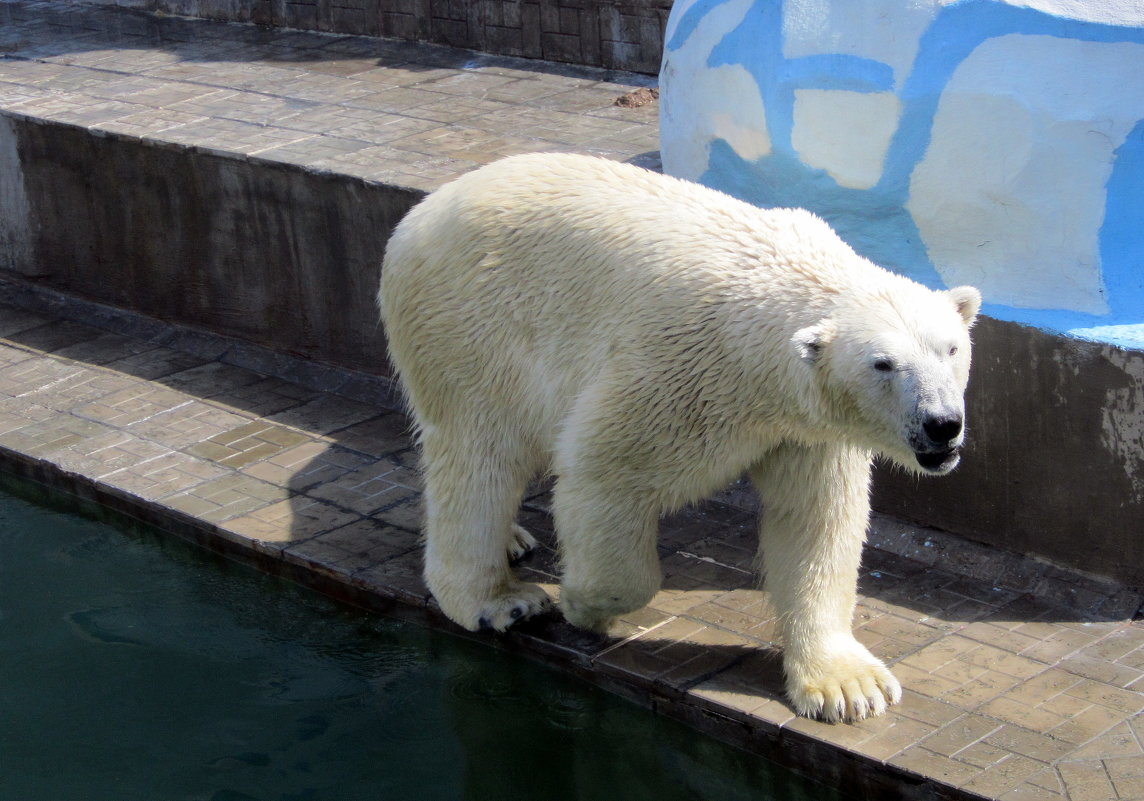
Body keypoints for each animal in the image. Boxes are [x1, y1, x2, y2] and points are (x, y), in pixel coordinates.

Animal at [379, 153, 979, 723]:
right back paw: (501, 601)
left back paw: (513, 541)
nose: (942, 423)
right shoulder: (678, 373)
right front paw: (585, 607)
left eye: (951, 348)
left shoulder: (805, 429)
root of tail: (419, 214)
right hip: (471, 325)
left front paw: (848, 687)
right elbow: (602, 471)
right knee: (478, 455)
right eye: (883, 364)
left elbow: (815, 522)